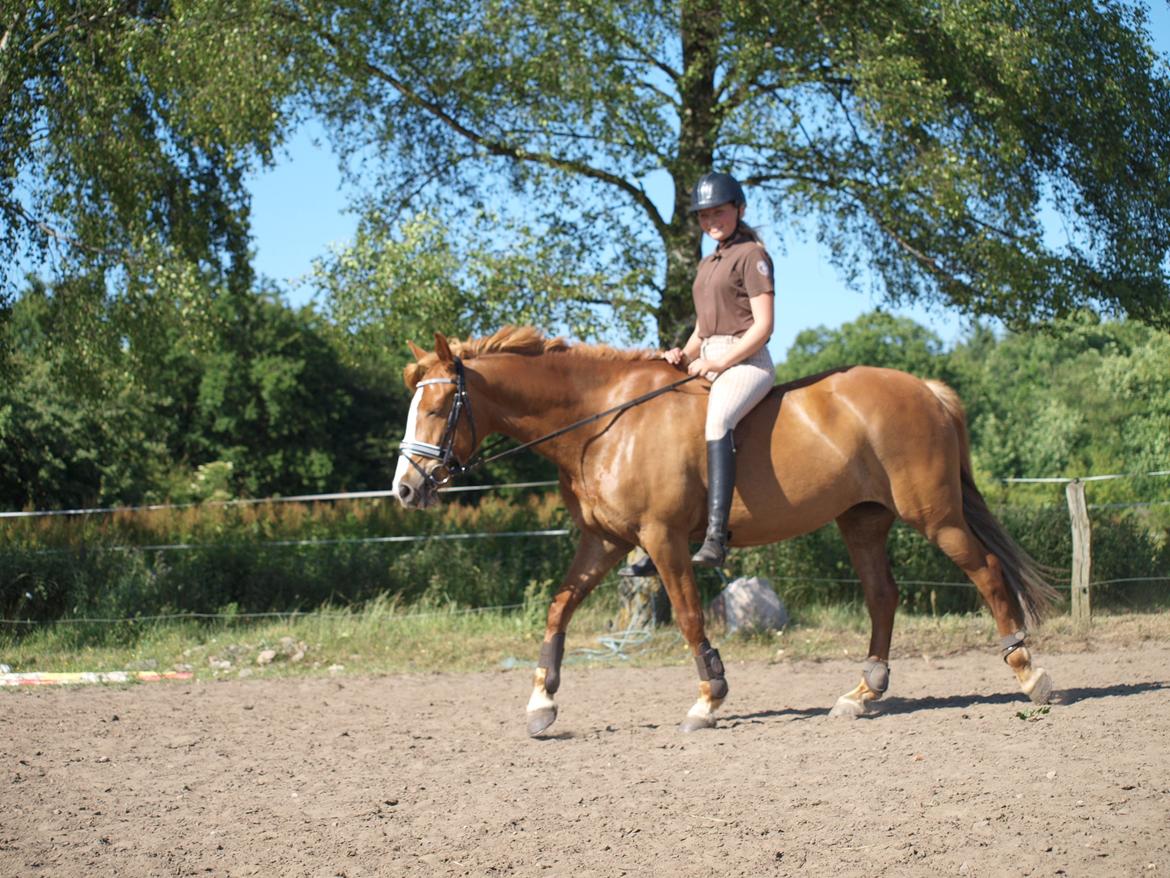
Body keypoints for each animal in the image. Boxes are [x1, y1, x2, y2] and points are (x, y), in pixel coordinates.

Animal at [391, 326, 1058, 735]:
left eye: (440, 406)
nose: (405, 490)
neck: (602, 422)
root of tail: (926, 389)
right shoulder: (604, 540)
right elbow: (559, 607)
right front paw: (541, 702)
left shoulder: (661, 537)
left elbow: (689, 615)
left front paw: (708, 698)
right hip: (863, 519)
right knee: (882, 596)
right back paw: (862, 694)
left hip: (935, 515)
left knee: (985, 573)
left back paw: (1031, 675)